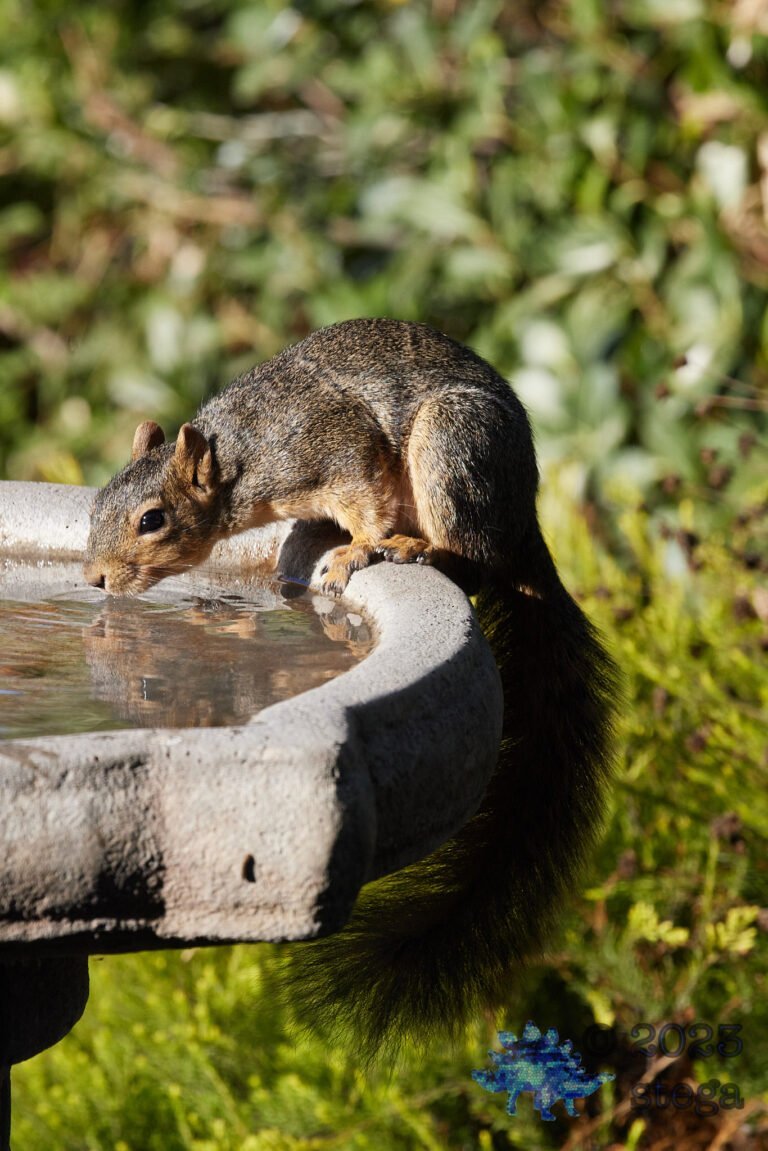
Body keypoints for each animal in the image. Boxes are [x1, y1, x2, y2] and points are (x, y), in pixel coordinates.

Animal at [85, 317, 618, 1058]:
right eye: (98, 503)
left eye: (152, 519)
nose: (95, 580)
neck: (244, 457)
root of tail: (524, 517)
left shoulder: (334, 449)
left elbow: (364, 496)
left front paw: (357, 547)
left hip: (453, 448)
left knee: (473, 561)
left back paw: (414, 549)